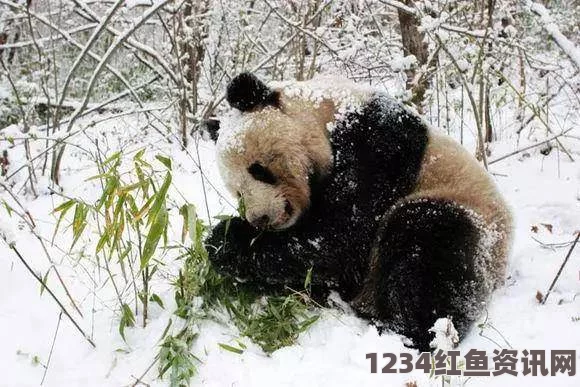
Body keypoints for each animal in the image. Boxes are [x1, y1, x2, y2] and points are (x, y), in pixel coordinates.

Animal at [204, 73, 512, 352]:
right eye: (237, 192)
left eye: (259, 170)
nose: (261, 219)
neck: (328, 113)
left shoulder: (379, 144)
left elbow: (339, 239)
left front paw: (224, 239)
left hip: (467, 216)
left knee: (425, 243)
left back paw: (407, 331)